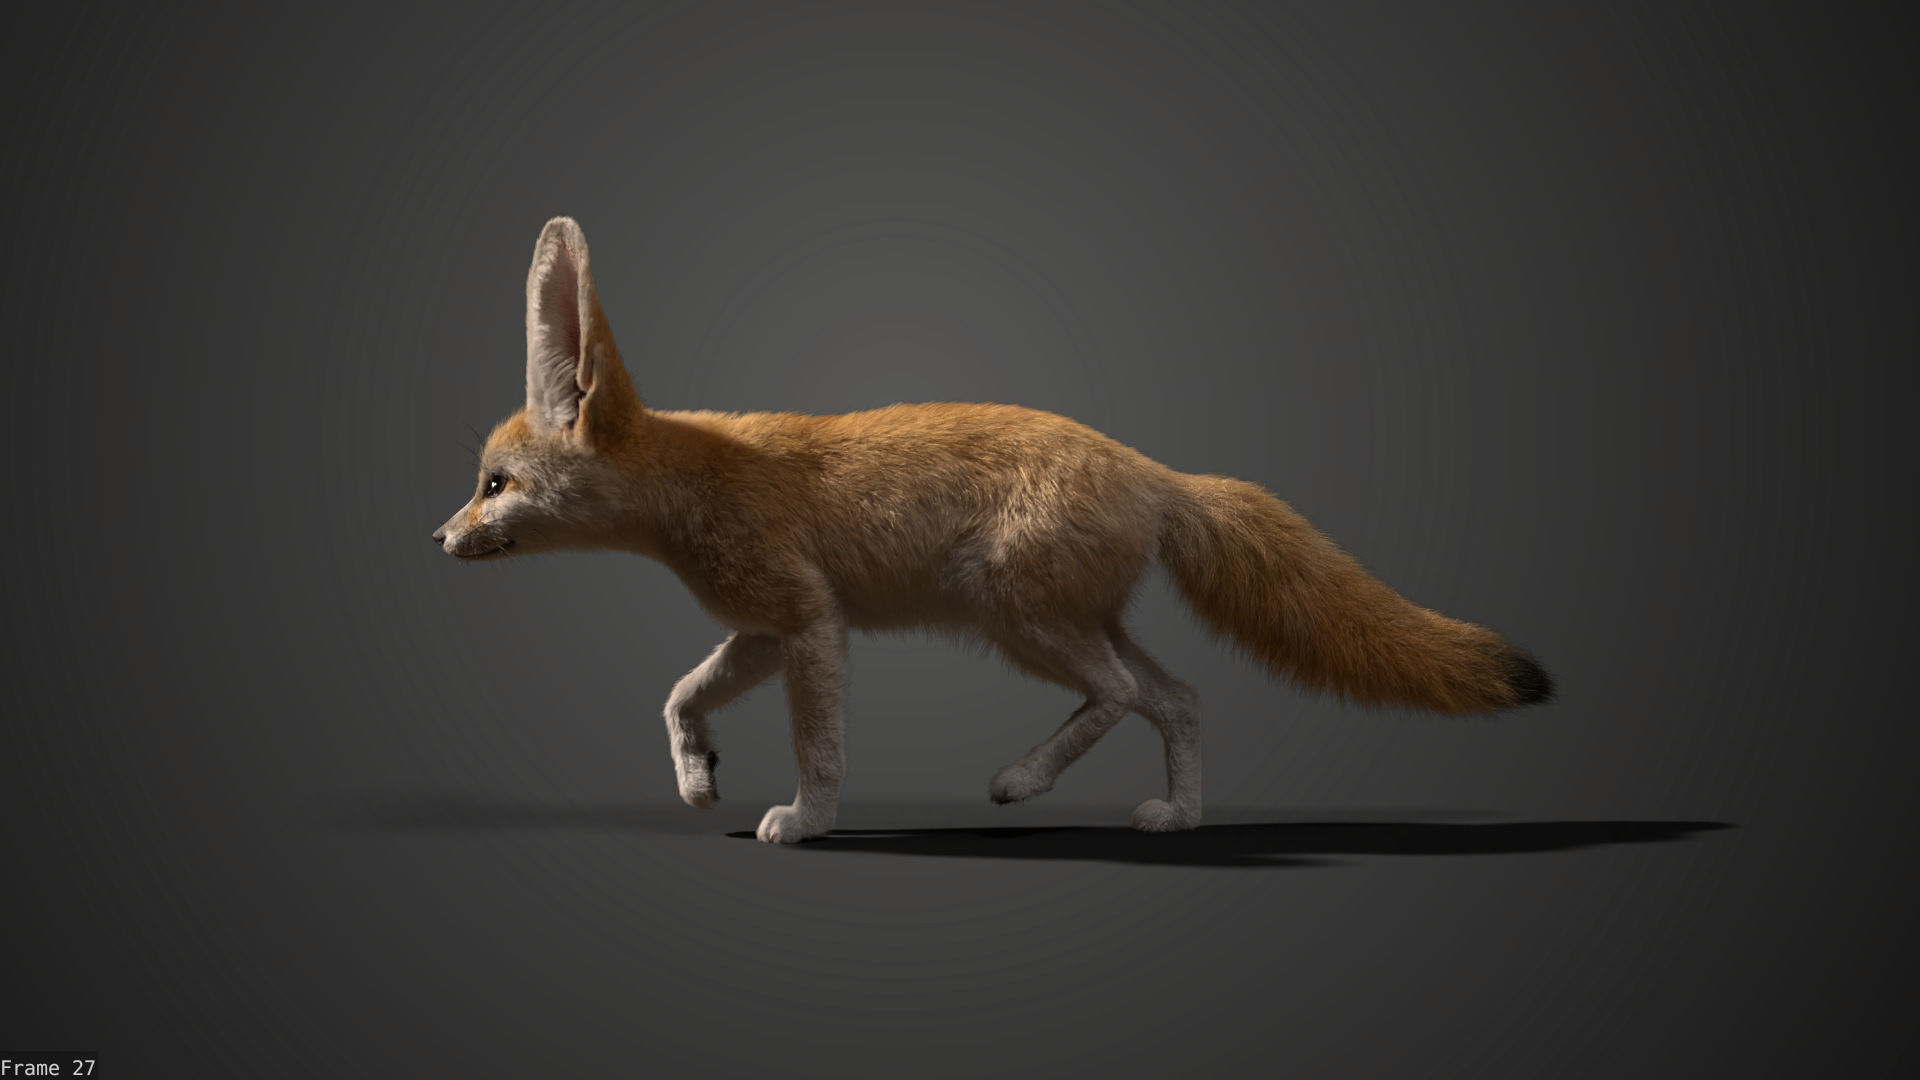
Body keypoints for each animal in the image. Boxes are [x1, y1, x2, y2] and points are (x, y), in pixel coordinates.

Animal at [433, 216, 1553, 844]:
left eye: (493, 485)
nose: (436, 540)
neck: (695, 482)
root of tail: (1156, 471)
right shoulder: (762, 627)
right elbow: (676, 696)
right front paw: (697, 776)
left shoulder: (810, 625)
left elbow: (820, 749)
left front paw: (807, 824)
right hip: (1067, 619)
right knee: (1179, 697)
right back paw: (1179, 820)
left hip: (1011, 614)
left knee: (1122, 695)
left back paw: (1021, 782)